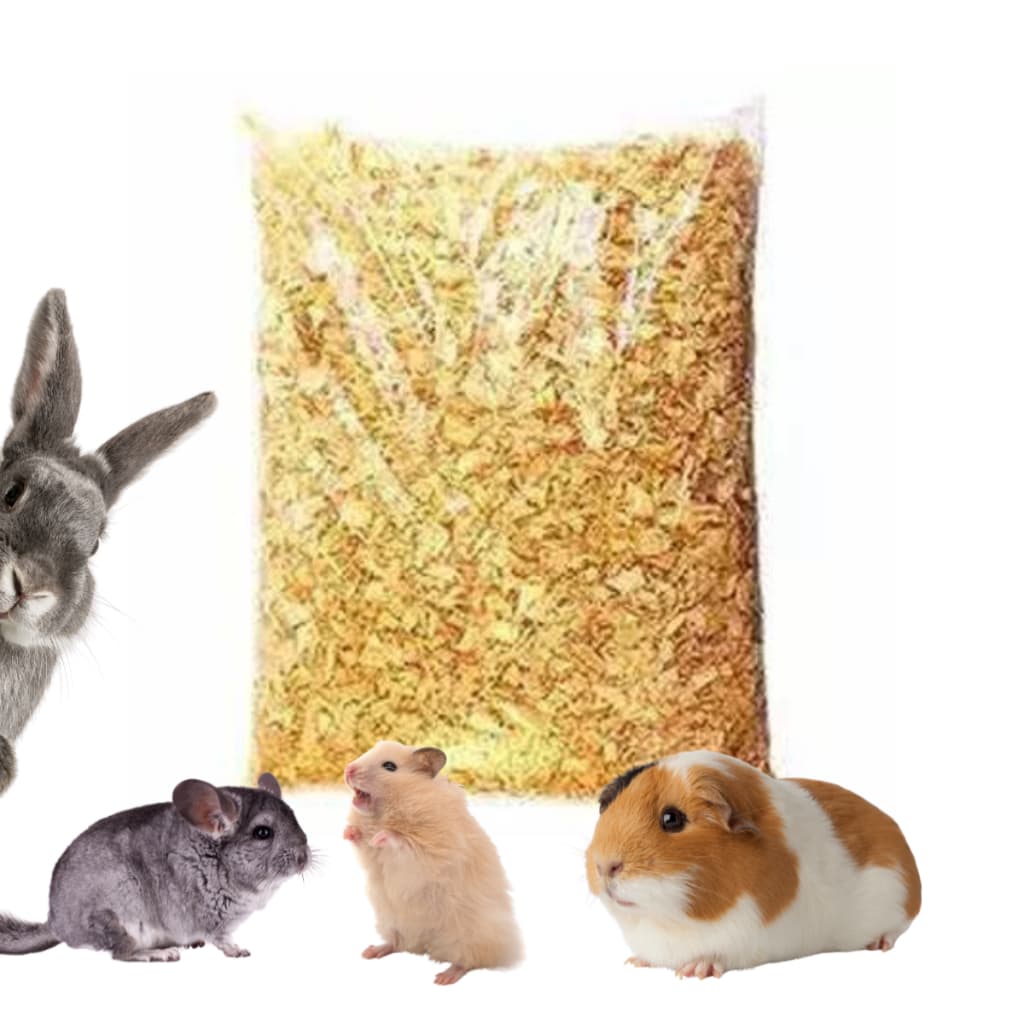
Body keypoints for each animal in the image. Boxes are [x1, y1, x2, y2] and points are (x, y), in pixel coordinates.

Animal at [0, 773, 309, 961]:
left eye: (294, 817)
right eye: (263, 833)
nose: (304, 858)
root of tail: (55, 923)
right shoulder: (210, 918)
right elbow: (222, 939)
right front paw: (239, 951)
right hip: (117, 911)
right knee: (120, 954)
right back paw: (158, 954)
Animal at [344, 740, 523, 985]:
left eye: (389, 766)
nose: (348, 770)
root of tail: (426, 945)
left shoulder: (430, 849)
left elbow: (402, 842)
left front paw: (382, 836)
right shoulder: (371, 856)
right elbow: (362, 842)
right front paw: (348, 832)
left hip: (471, 933)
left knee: (468, 961)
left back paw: (444, 978)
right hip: (390, 921)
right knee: (398, 943)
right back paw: (371, 951)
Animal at [586, 751, 921, 978]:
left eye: (672, 819)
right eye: (609, 807)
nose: (604, 866)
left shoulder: (745, 941)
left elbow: (718, 955)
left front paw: (694, 971)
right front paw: (636, 963)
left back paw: (879, 944)